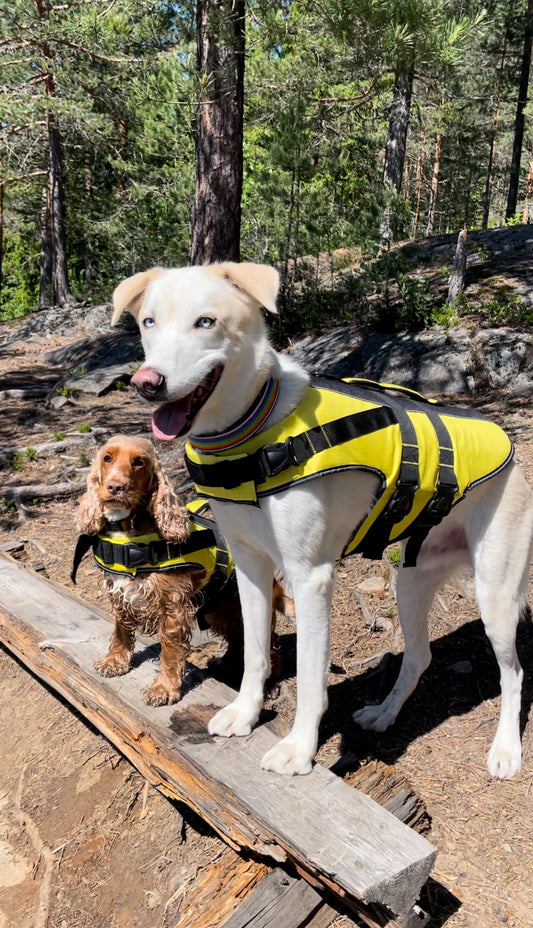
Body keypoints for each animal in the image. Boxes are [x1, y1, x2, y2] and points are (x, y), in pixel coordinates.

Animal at [113, 264, 532, 780]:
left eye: (205, 321)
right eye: (148, 322)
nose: (147, 382)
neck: (251, 429)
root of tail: (511, 451)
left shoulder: (309, 577)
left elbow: (312, 678)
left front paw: (299, 748)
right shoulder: (250, 568)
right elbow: (255, 653)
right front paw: (245, 713)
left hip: (495, 596)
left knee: (513, 673)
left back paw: (506, 749)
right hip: (411, 582)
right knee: (420, 656)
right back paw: (384, 713)